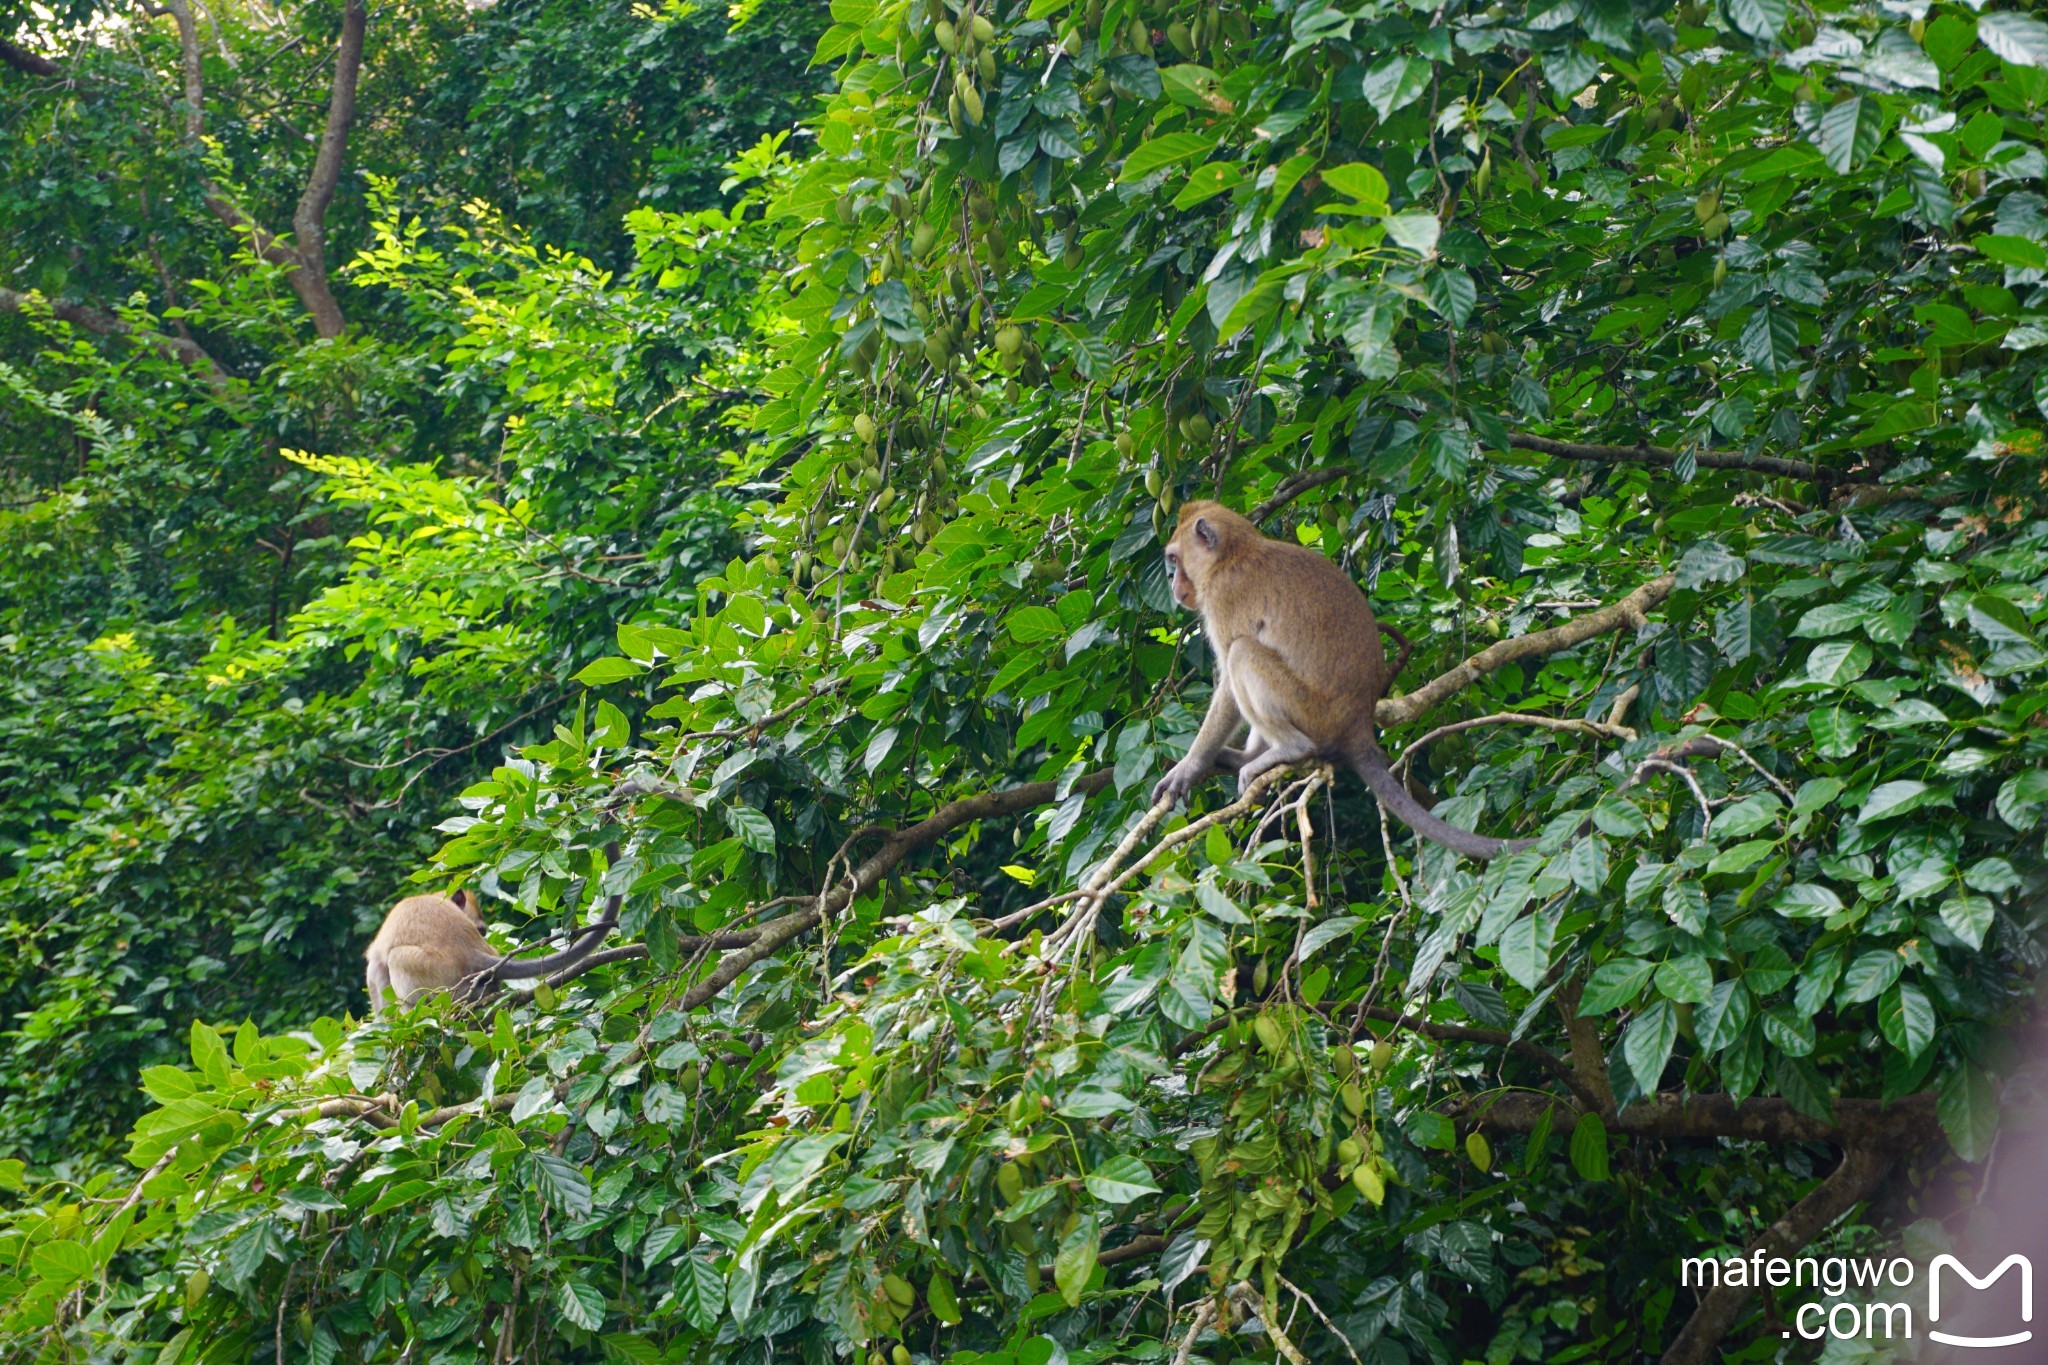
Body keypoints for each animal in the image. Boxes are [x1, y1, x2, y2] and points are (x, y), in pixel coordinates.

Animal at [1163, 501, 1531, 863]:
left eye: (1174, 560)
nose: (1171, 583)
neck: (1231, 555)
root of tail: (1358, 724)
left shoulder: (1224, 597)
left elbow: (1228, 681)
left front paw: (1190, 767)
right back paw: (1248, 757)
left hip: (1312, 711)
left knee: (1242, 653)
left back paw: (1287, 750)